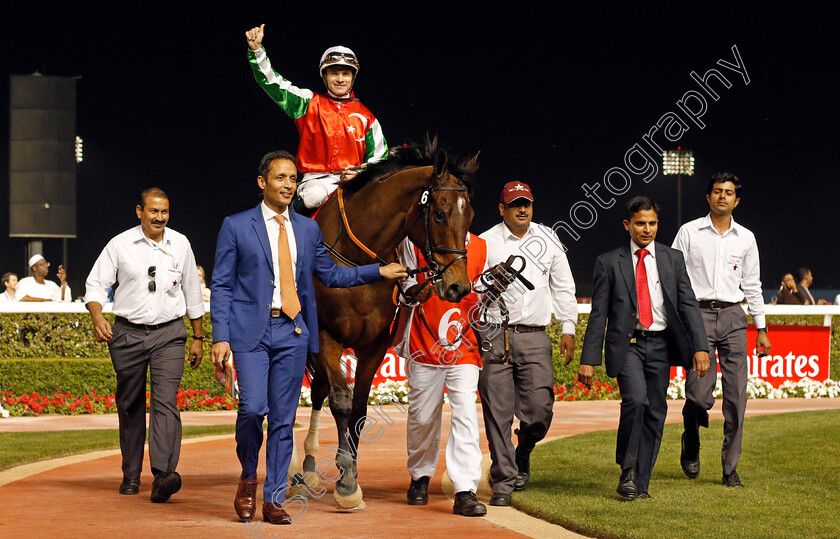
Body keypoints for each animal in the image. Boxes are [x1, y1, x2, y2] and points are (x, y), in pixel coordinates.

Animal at [288, 139, 476, 510]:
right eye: (440, 213)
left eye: (470, 215)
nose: (458, 287)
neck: (357, 260)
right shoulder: (326, 336)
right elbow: (341, 401)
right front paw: (346, 485)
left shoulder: (374, 345)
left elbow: (359, 409)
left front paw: (349, 473)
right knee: (315, 391)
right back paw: (305, 468)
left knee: (319, 390)